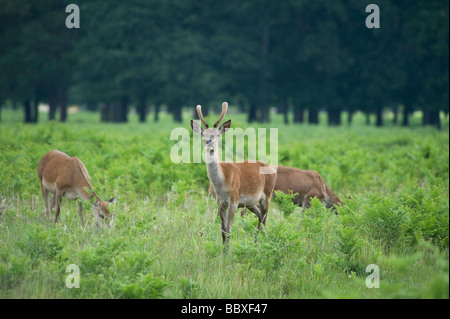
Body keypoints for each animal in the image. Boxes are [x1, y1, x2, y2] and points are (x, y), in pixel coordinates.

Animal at [191, 102, 278, 250]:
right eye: (203, 134)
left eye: (218, 134)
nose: (209, 143)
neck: (222, 184)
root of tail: (272, 168)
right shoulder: (220, 203)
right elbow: (223, 231)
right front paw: (223, 252)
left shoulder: (234, 199)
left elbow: (229, 230)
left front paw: (227, 252)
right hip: (250, 203)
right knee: (260, 217)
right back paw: (255, 242)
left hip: (267, 195)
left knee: (265, 220)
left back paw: (261, 243)